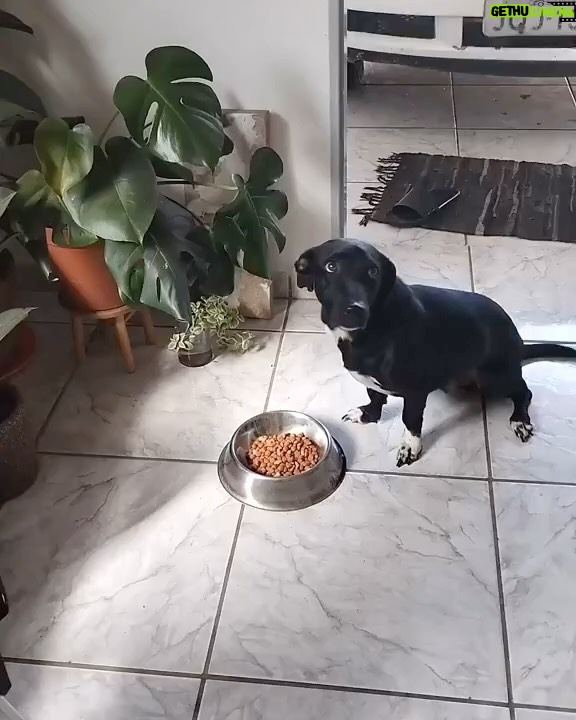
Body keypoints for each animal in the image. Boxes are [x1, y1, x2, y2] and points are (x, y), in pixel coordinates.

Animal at [294, 239, 576, 470]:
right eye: (331, 266)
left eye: (373, 272)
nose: (356, 310)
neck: (372, 329)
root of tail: (519, 343)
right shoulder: (369, 380)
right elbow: (375, 397)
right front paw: (368, 416)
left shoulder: (415, 391)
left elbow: (410, 420)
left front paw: (410, 447)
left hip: (494, 378)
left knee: (524, 391)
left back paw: (519, 420)